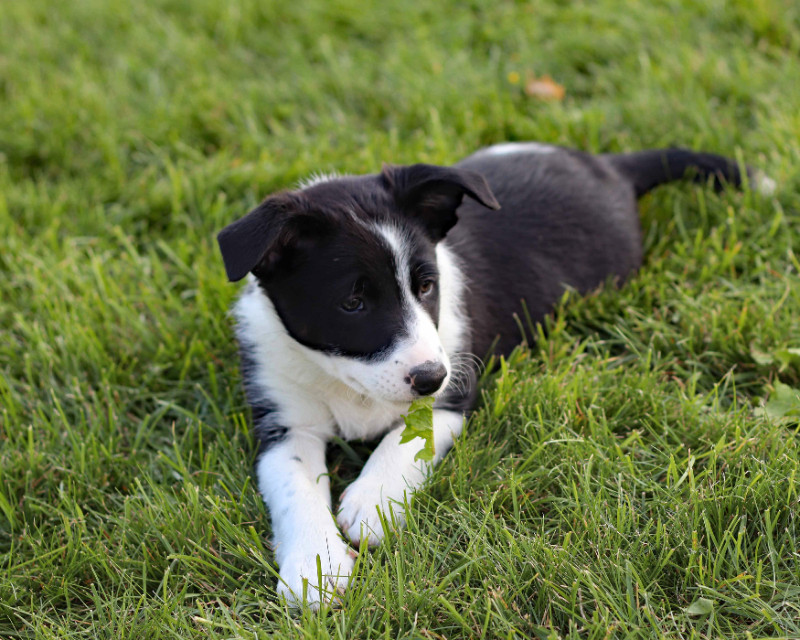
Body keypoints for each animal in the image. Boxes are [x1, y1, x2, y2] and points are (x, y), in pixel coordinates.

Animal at [216, 142, 772, 608]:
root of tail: (608, 165)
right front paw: (316, 567)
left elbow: (406, 441)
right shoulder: (283, 422)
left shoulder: (454, 387)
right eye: (352, 303)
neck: (346, 379)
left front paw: (371, 504)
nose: (430, 377)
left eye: (426, 286)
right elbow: (295, 487)